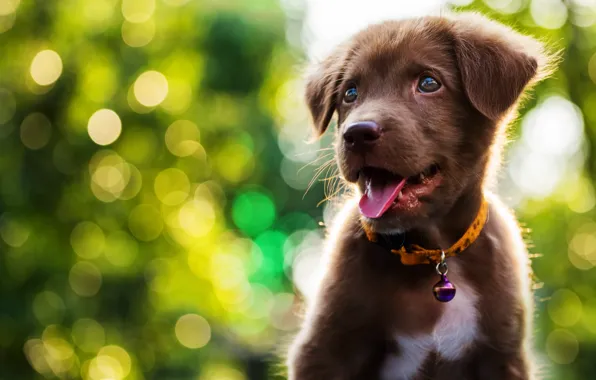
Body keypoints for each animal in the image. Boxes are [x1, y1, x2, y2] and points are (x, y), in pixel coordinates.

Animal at [284, 11, 556, 380]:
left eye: (428, 83)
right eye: (350, 93)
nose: (356, 134)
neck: (432, 255)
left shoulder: (503, 356)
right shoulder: (324, 351)